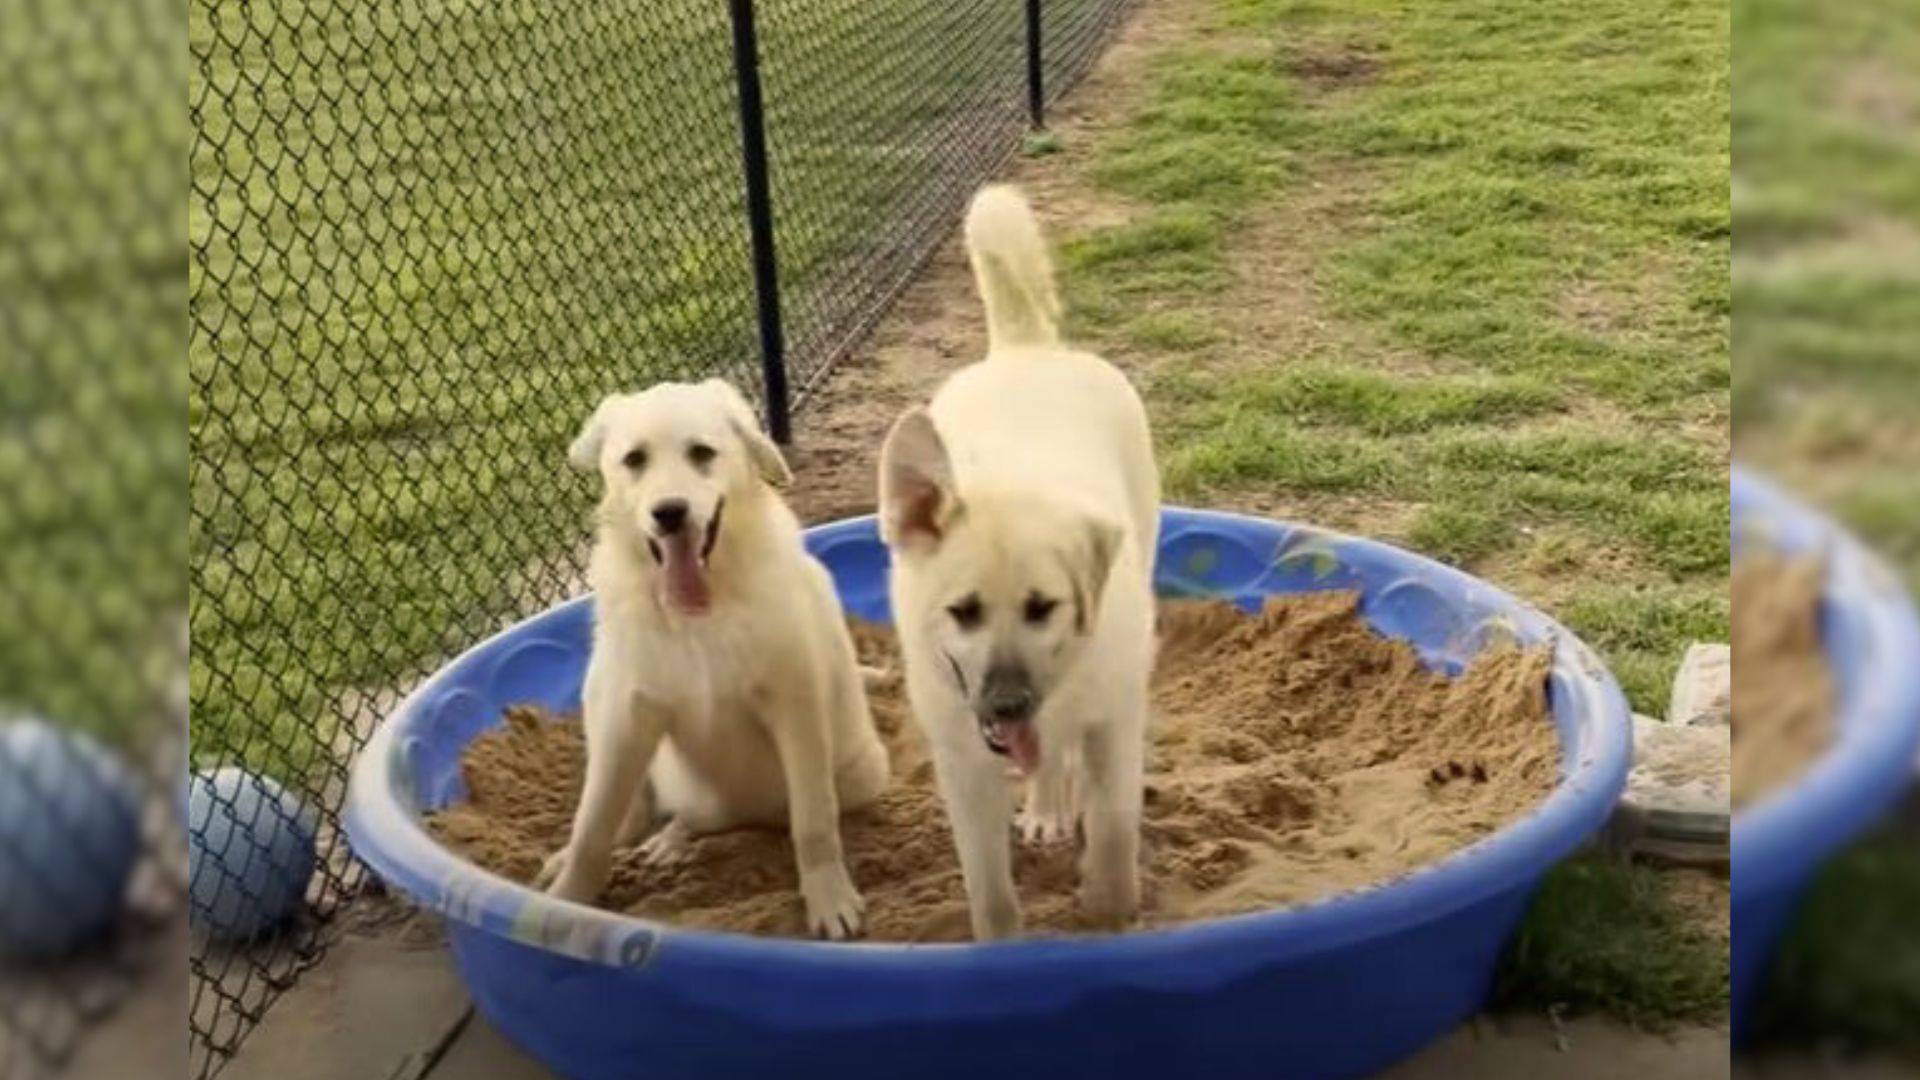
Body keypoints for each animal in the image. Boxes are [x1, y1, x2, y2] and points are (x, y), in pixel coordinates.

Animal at [545, 376, 887, 933]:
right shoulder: (627, 715)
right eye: (634, 459)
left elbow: (813, 820)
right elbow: (593, 826)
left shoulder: (795, 707)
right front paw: (566, 899)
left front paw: (828, 898)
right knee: (640, 815)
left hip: (860, 773)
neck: (700, 616)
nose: (669, 513)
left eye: (701, 453)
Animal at [879, 184, 1159, 933]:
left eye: (1042, 608)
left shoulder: (1115, 725)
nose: (1006, 705)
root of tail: (1025, 350)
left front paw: (1108, 915)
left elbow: (1114, 837)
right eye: (962, 612)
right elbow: (991, 892)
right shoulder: (963, 765)